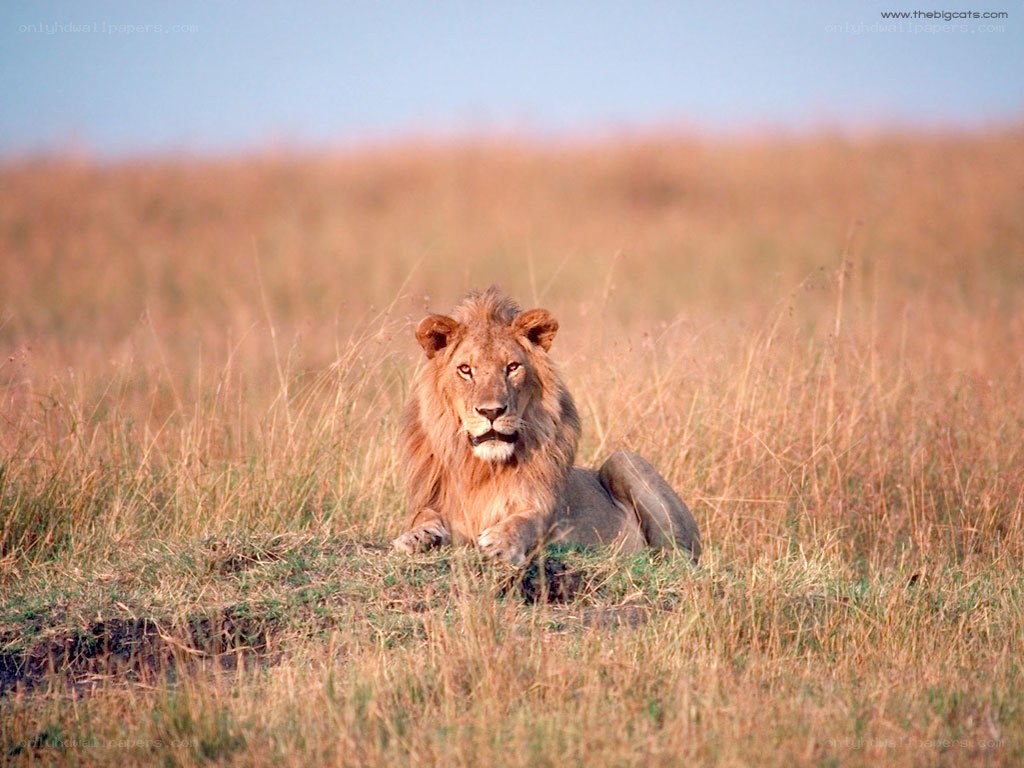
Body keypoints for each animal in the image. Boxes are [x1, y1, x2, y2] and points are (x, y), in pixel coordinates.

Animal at [392, 287, 700, 565]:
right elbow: (424, 516)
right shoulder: (432, 501)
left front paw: (501, 542)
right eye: (465, 370)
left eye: (512, 367)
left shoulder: (545, 510)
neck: (482, 468)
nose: (491, 411)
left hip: (624, 461)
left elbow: (527, 521)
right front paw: (417, 537)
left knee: (678, 553)